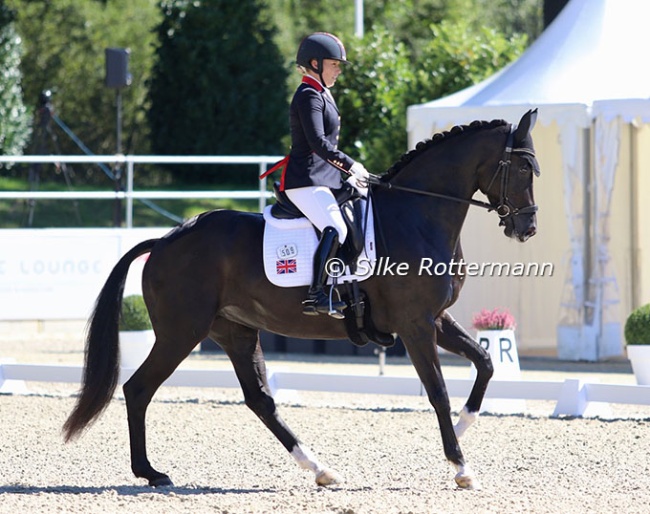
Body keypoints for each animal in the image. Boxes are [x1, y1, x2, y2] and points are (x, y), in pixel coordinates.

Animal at [62, 109, 536, 488]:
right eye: (522, 169)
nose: (527, 228)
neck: (415, 216)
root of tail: (163, 241)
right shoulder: (415, 324)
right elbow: (437, 390)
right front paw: (460, 466)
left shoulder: (435, 319)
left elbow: (485, 361)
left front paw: (466, 424)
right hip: (182, 332)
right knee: (139, 388)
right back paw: (151, 472)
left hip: (235, 330)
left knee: (260, 400)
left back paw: (320, 468)